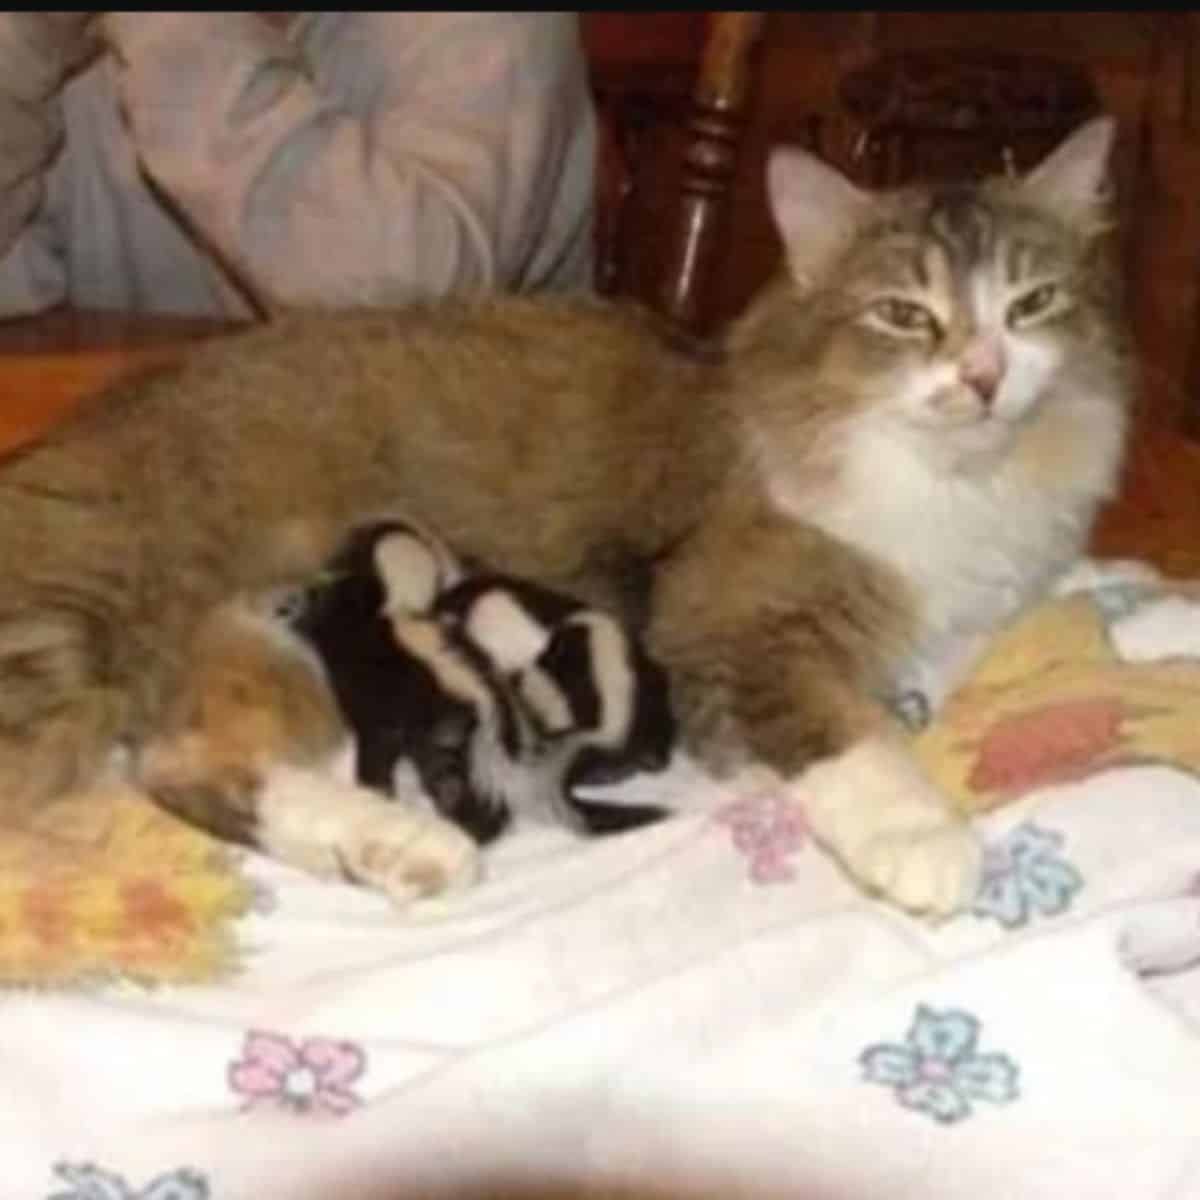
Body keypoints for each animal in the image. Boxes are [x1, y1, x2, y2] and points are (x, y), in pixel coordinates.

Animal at [0, 117, 1132, 912]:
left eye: (1032, 305)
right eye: (904, 314)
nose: (984, 375)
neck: (960, 478)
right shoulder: (737, 625)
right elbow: (852, 738)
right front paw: (924, 840)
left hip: (261, 651)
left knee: (187, 764)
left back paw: (403, 849)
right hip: (76, 635)